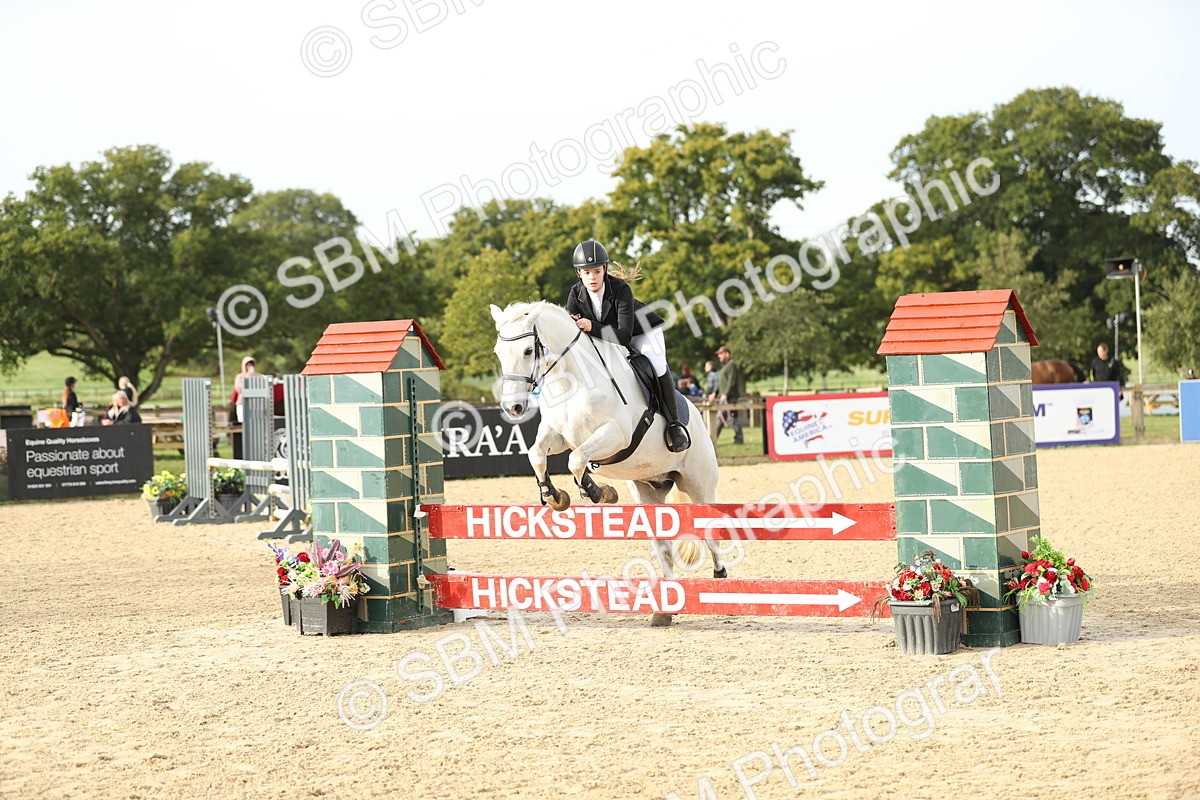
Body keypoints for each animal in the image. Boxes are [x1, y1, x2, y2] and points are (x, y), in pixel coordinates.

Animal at [490, 301, 725, 626]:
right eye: (499, 352)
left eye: (527, 351)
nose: (512, 408)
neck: (571, 380)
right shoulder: (558, 435)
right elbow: (538, 455)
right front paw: (554, 496)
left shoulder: (615, 435)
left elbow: (577, 460)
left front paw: (598, 492)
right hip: (648, 492)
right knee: (663, 546)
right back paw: (665, 610)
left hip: (699, 485)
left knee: (709, 530)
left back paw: (721, 577)